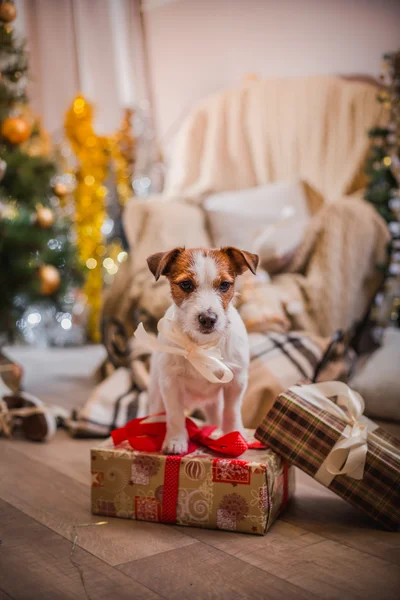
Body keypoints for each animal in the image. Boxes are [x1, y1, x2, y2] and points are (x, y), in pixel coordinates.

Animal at [145, 246, 258, 452]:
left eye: (224, 285)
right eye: (186, 285)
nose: (208, 319)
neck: (203, 346)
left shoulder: (236, 381)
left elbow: (231, 412)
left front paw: (235, 436)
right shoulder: (170, 384)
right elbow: (175, 415)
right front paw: (175, 440)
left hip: (214, 402)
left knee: (216, 416)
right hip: (156, 393)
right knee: (158, 414)